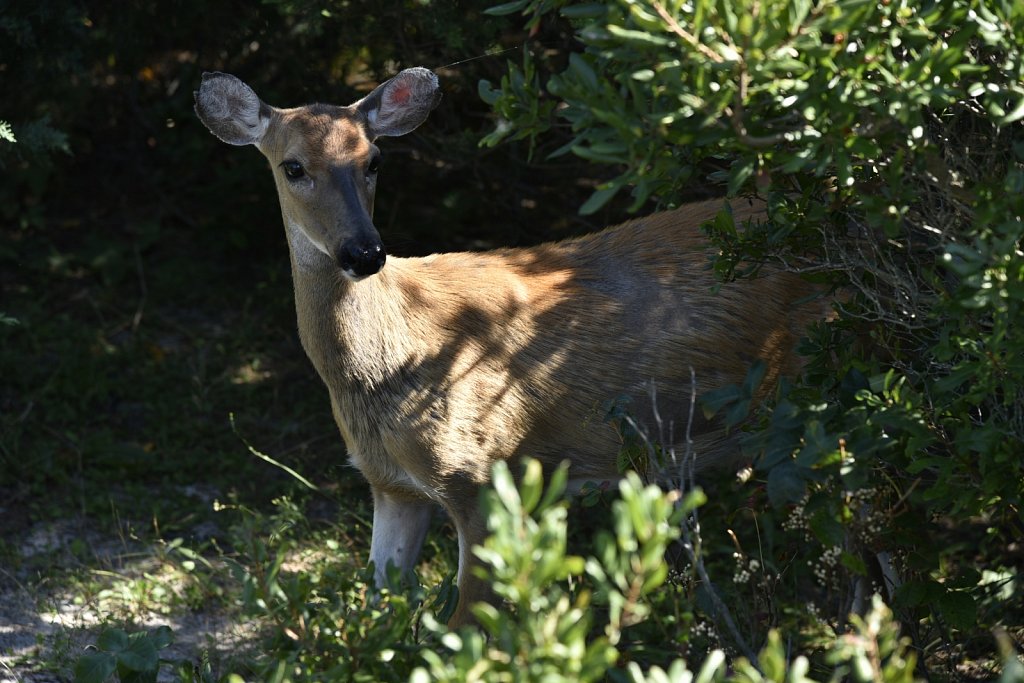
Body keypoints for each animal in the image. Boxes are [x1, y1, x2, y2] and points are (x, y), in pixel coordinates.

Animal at [195, 66, 827, 626]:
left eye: (374, 161)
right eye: (293, 166)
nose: (364, 252)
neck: (393, 361)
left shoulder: (486, 471)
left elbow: (465, 629)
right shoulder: (389, 483)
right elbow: (379, 608)